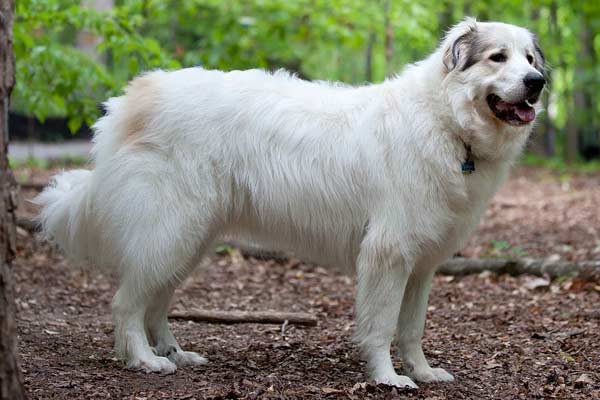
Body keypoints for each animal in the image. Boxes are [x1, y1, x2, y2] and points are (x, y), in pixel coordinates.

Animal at [36, 18, 544, 388]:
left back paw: (175, 353)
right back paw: (145, 360)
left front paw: (422, 371)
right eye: (498, 57)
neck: (447, 122)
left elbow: (412, 328)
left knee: (156, 302)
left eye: (530, 58)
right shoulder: (388, 255)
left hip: (189, 239)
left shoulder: (420, 266)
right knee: (127, 303)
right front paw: (388, 378)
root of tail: (131, 99)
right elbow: (382, 325)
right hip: (171, 231)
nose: (537, 81)